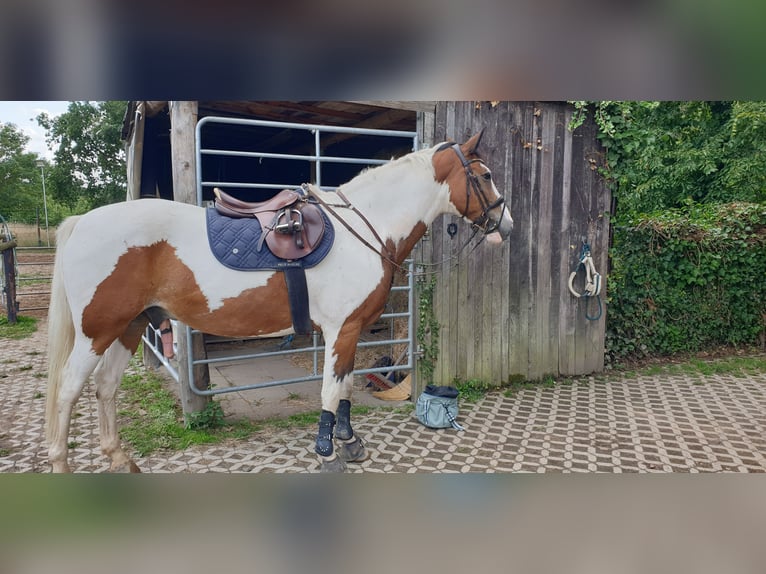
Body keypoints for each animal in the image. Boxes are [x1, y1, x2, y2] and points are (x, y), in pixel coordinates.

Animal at [45, 130, 513, 472]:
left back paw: (121, 460)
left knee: (106, 387)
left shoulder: (350, 330)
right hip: (97, 332)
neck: (366, 227)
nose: (505, 225)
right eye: (486, 175)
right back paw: (63, 466)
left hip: (130, 326)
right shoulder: (341, 329)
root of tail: (82, 222)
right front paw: (328, 453)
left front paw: (349, 443)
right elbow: (330, 391)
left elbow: (344, 387)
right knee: (69, 391)